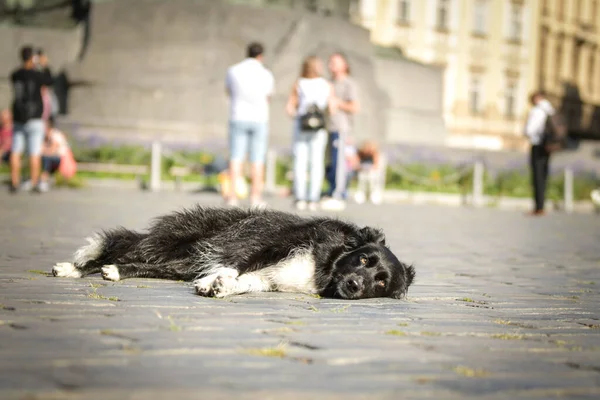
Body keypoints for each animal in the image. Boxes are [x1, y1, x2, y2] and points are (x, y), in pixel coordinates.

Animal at [52, 206, 412, 300]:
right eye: (363, 260)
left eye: (381, 282)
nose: (354, 285)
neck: (327, 264)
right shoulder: (266, 244)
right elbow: (235, 264)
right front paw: (213, 281)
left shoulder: (272, 279)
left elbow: (246, 283)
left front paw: (221, 288)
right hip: (171, 244)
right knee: (119, 249)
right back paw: (74, 268)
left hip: (178, 263)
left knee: (138, 264)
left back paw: (114, 272)